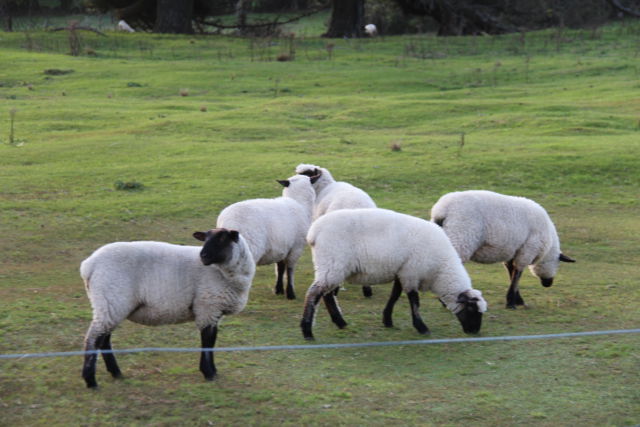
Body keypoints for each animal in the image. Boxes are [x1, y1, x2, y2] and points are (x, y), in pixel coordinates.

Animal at [80, 228, 255, 388]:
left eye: (222, 238)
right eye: (205, 238)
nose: (203, 256)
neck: (224, 273)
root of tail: (89, 265)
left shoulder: (214, 312)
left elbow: (211, 342)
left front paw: (213, 372)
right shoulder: (207, 307)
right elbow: (208, 341)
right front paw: (209, 373)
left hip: (111, 305)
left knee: (104, 338)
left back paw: (116, 373)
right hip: (111, 300)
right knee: (94, 339)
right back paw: (91, 380)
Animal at [300, 208, 487, 340]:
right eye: (472, 309)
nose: (474, 332)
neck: (440, 270)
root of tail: (313, 232)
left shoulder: (402, 271)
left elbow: (395, 295)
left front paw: (387, 320)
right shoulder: (412, 272)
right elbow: (414, 300)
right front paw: (422, 327)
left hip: (334, 267)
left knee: (327, 294)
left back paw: (340, 323)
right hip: (332, 263)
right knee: (314, 293)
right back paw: (307, 331)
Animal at [430, 190, 576, 309]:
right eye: (558, 264)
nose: (548, 284)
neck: (548, 245)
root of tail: (442, 210)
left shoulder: (513, 252)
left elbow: (511, 272)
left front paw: (517, 300)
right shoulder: (527, 250)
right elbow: (517, 275)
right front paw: (512, 303)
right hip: (460, 238)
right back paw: (446, 301)